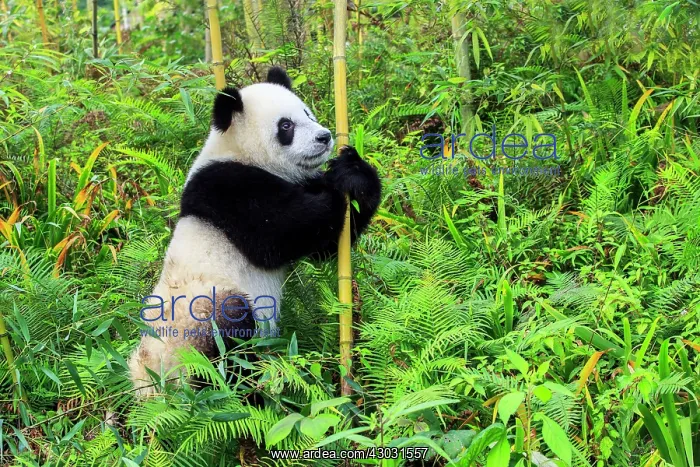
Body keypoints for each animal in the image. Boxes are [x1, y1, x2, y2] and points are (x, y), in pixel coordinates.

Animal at [128, 67, 382, 396]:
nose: (324, 137)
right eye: (286, 125)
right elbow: (278, 236)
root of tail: (150, 385)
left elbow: (325, 245)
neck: (239, 151)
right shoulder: (225, 189)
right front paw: (337, 186)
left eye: (307, 113)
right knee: (229, 340)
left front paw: (353, 171)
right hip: (196, 321)